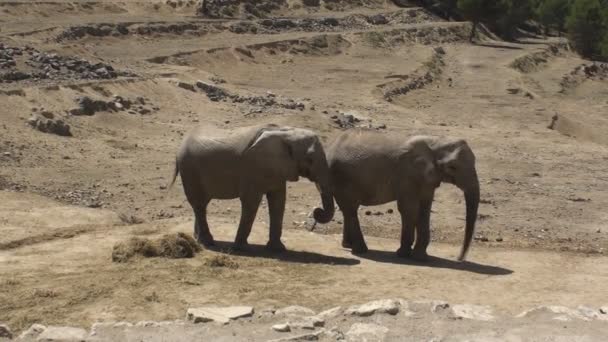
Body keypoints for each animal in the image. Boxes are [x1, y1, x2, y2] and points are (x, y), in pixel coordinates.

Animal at [169, 123, 334, 251]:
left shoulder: (277, 169)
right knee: (199, 204)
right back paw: (208, 242)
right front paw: (242, 248)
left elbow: (279, 201)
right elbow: (252, 202)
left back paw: (198, 239)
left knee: (201, 205)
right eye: (310, 158)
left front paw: (278, 249)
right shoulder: (253, 169)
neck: (285, 132)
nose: (317, 212)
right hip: (190, 170)